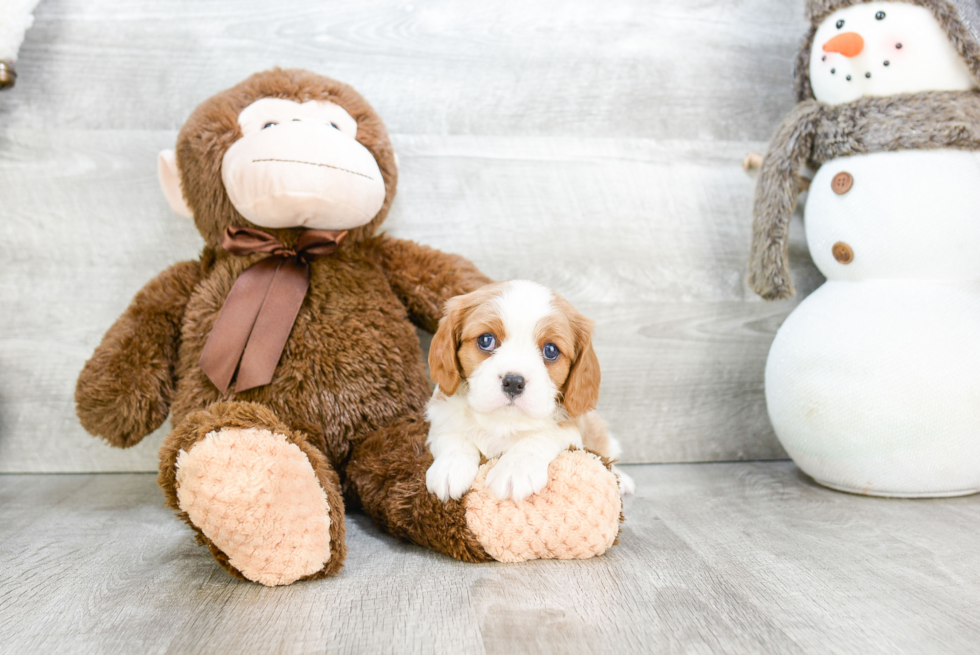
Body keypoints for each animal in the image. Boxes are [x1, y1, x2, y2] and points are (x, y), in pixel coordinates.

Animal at [424, 280, 636, 502]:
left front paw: (516, 469)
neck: (504, 420)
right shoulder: (442, 413)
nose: (513, 382)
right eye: (486, 340)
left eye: (550, 350)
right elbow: (452, 434)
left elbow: (541, 436)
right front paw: (450, 467)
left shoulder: (570, 427)